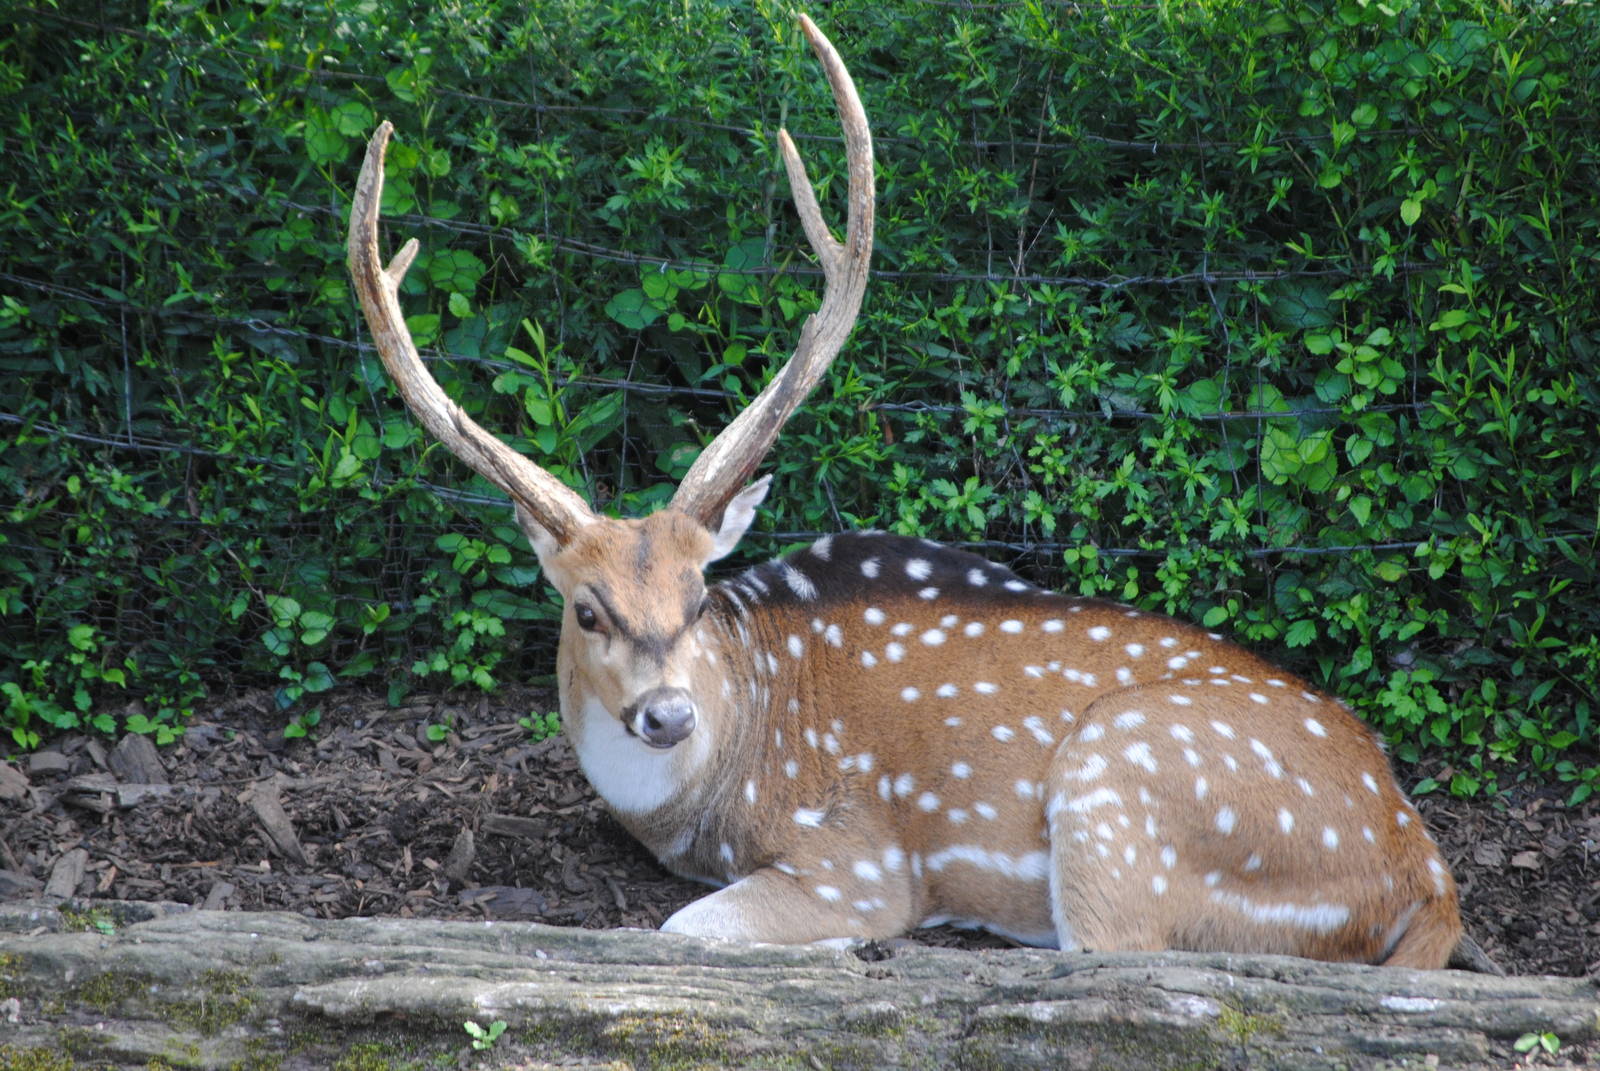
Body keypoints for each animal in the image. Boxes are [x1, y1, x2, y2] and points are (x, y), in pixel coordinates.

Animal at [347, 14, 1467, 967]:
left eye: (700, 596)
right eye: (587, 608)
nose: (665, 713)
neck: (711, 791)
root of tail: (1425, 873)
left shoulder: (858, 856)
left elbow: (686, 927)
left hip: (1125, 784)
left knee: (1117, 948)